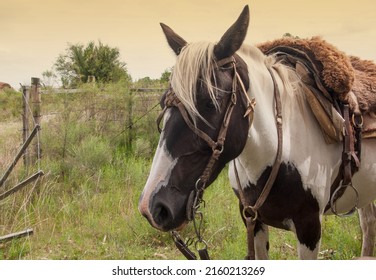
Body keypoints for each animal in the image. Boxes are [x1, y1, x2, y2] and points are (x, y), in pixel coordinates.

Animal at [139, 5, 376, 260]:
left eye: (210, 103)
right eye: (163, 102)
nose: (152, 207)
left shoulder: (310, 228)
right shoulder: (252, 218)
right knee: (368, 223)